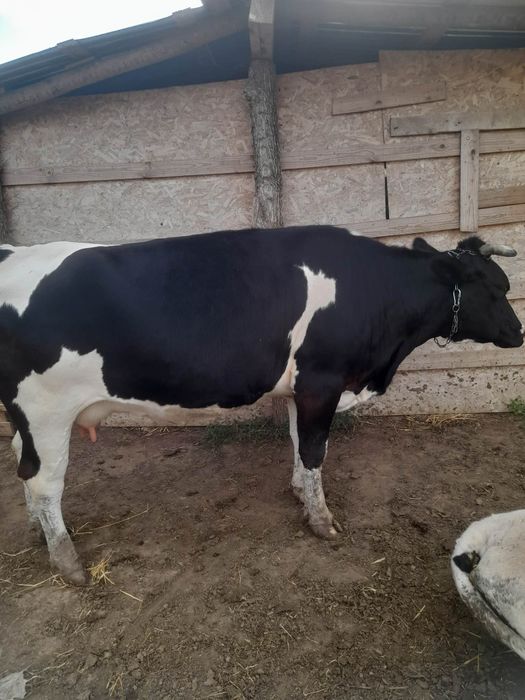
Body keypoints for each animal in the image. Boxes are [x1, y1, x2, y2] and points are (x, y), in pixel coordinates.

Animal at [0, 226, 522, 584]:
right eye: (497, 288)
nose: (519, 332)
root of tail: (14, 252)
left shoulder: (300, 389)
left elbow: (297, 445)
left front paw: (299, 493)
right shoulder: (322, 381)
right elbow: (314, 451)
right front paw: (321, 520)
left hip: (28, 416)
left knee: (21, 460)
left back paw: (40, 532)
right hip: (45, 410)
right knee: (44, 480)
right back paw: (67, 561)